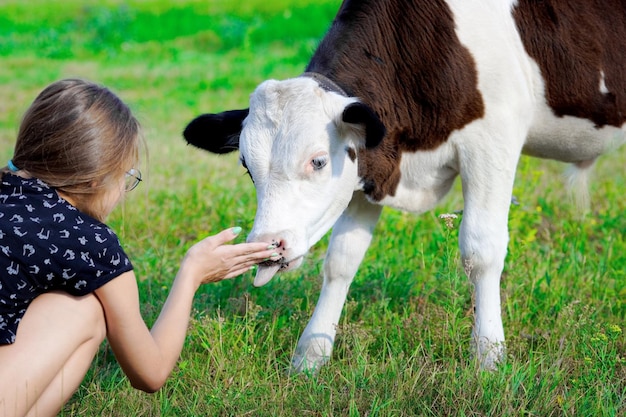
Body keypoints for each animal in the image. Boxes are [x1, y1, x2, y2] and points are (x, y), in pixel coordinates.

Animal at [183, 0, 620, 370]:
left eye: (318, 161)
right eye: (247, 167)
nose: (267, 245)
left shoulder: (493, 141)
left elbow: (481, 250)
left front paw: (488, 359)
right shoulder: (373, 165)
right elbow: (342, 259)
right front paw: (311, 356)